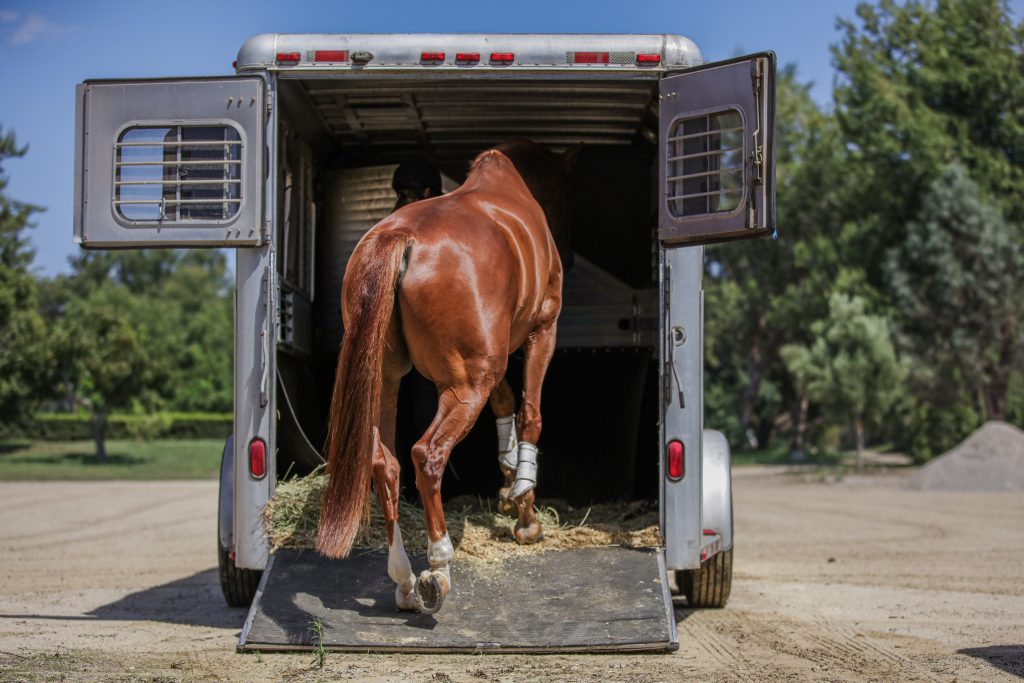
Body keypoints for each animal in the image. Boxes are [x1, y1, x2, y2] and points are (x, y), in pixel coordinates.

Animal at [315, 139, 576, 614]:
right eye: (565, 191)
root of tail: (399, 237)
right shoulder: (541, 332)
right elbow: (529, 414)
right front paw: (525, 511)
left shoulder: (484, 363)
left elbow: (506, 405)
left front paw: (509, 485)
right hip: (466, 386)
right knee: (427, 455)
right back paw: (438, 568)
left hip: (389, 382)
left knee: (385, 463)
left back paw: (404, 579)